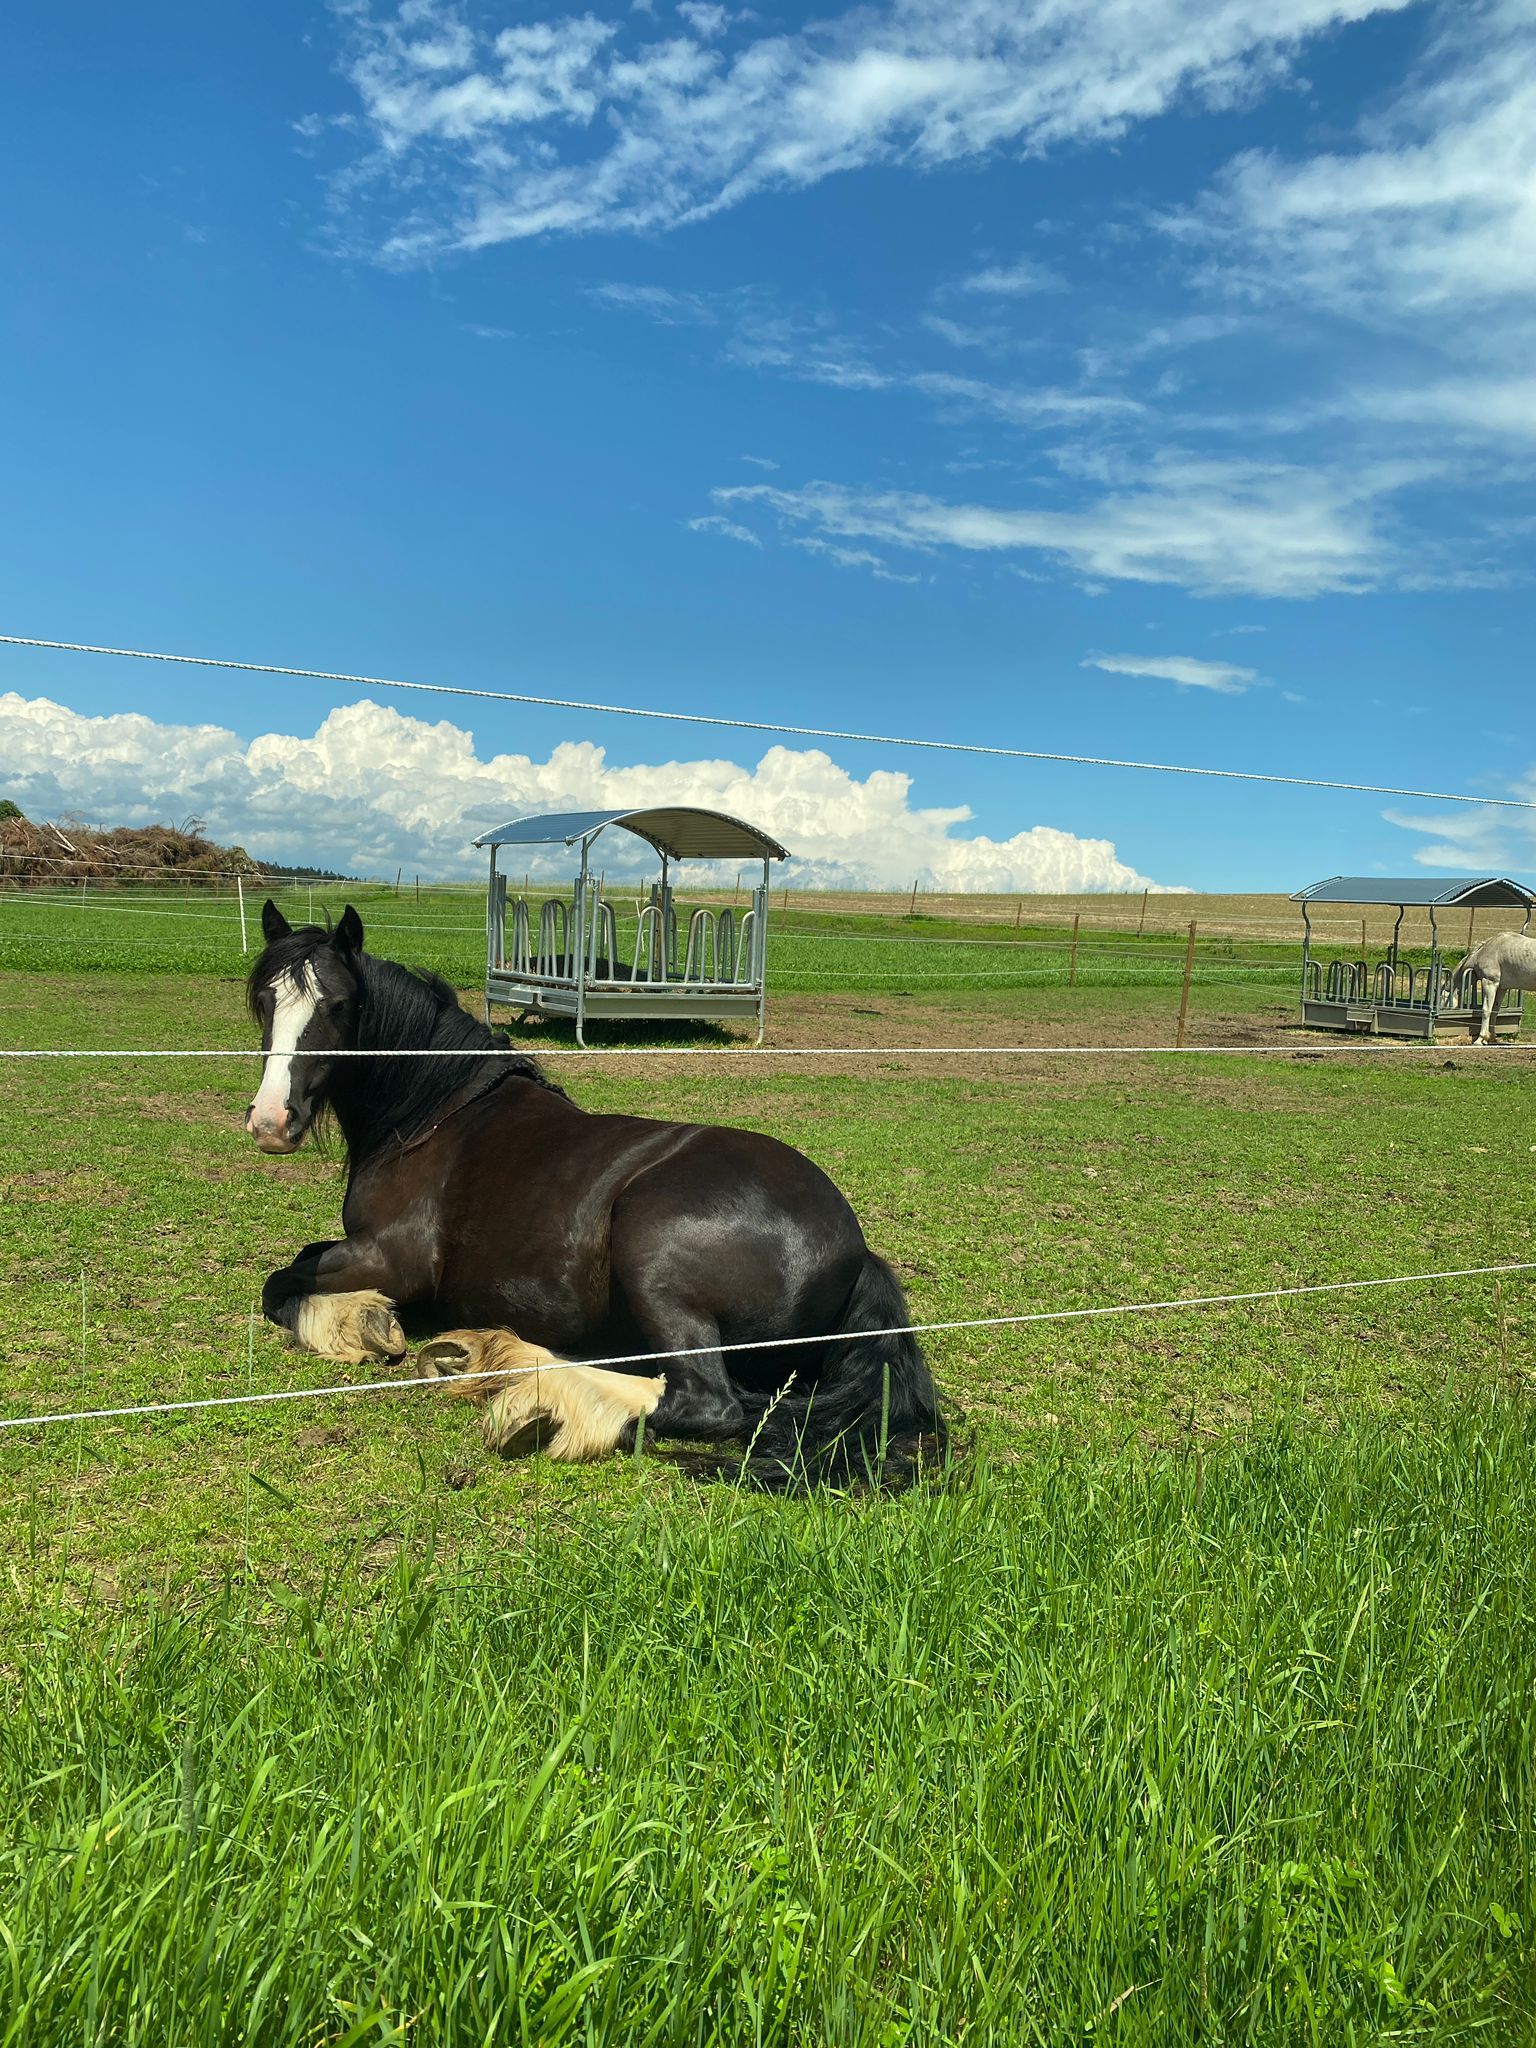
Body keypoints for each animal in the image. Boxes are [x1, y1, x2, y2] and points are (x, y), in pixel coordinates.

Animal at [244, 903, 945, 1486]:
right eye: (264, 1002)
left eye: (337, 1006)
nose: (271, 1122)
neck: (435, 1115)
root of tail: (855, 1251)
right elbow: (298, 1263)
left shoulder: (392, 1260)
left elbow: (280, 1285)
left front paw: (362, 1324)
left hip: (653, 1256)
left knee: (704, 1403)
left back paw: (546, 1398)